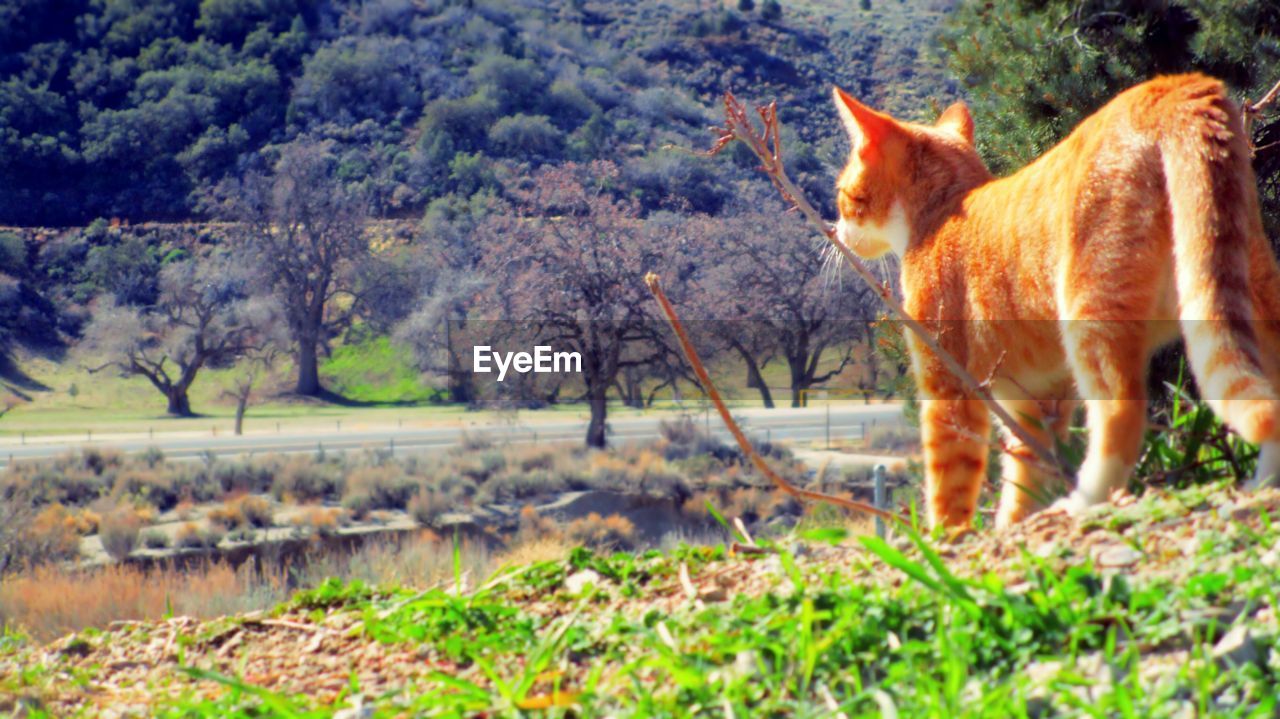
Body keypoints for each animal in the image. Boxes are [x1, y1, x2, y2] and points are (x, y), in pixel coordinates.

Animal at [829, 72, 1280, 529]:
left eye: (843, 195)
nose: (837, 229)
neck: (941, 212)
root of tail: (1168, 88)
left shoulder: (949, 387)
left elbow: (949, 482)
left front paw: (945, 537)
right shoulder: (1036, 398)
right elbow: (1027, 475)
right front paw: (1013, 524)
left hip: (1091, 314)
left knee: (1119, 416)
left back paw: (1083, 501)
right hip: (1250, 292)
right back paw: (1264, 484)